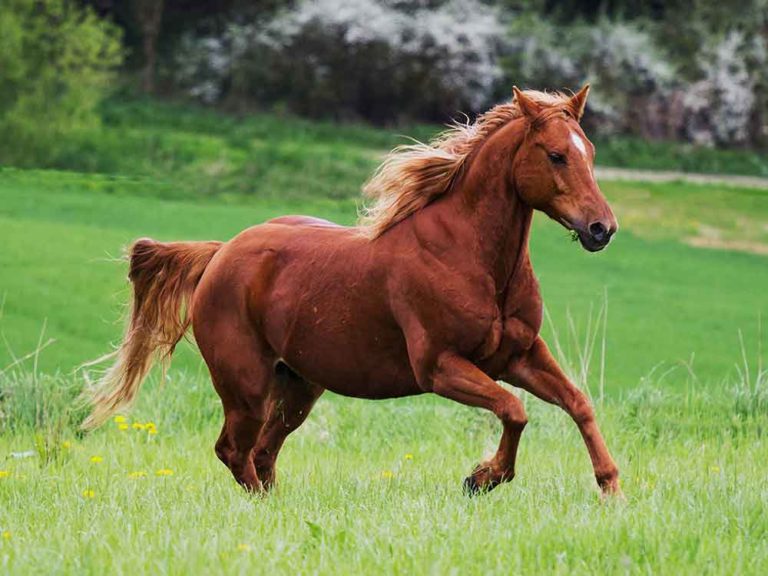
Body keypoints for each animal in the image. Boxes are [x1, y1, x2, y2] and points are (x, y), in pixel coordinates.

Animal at [84, 85, 621, 497]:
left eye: (591, 153)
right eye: (556, 155)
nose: (602, 229)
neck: (471, 259)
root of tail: (220, 253)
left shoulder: (520, 356)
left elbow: (577, 403)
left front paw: (611, 486)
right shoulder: (441, 367)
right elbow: (514, 409)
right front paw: (484, 477)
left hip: (298, 386)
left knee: (263, 452)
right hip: (246, 384)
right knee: (235, 451)